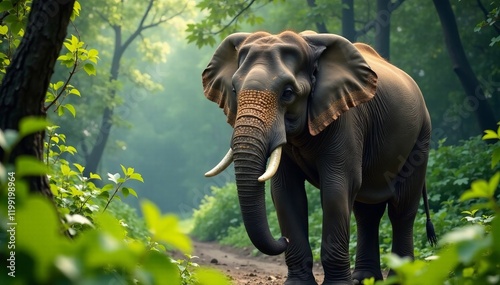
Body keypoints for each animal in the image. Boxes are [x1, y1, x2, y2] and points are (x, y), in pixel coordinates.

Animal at [201, 31, 436, 284]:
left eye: (288, 93)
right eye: (234, 90)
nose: (283, 240)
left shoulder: (346, 118)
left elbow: (337, 187)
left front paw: (337, 284)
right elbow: (286, 192)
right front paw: (297, 283)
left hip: (420, 137)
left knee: (402, 209)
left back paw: (399, 279)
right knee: (367, 212)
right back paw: (363, 278)